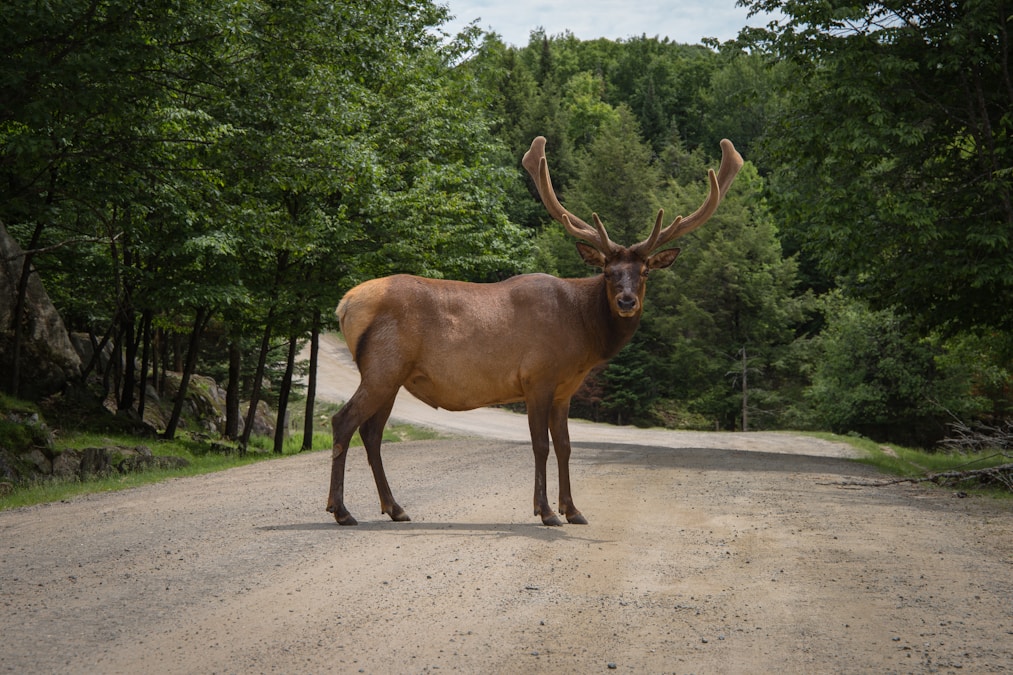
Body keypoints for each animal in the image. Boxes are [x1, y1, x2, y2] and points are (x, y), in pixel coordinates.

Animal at [327, 135, 743, 526]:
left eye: (643, 273)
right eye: (608, 272)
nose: (626, 301)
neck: (583, 336)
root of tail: (345, 304)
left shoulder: (565, 390)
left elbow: (565, 445)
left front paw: (573, 509)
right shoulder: (536, 377)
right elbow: (540, 445)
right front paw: (546, 511)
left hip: (393, 375)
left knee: (372, 433)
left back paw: (394, 508)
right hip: (383, 366)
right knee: (344, 421)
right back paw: (341, 509)